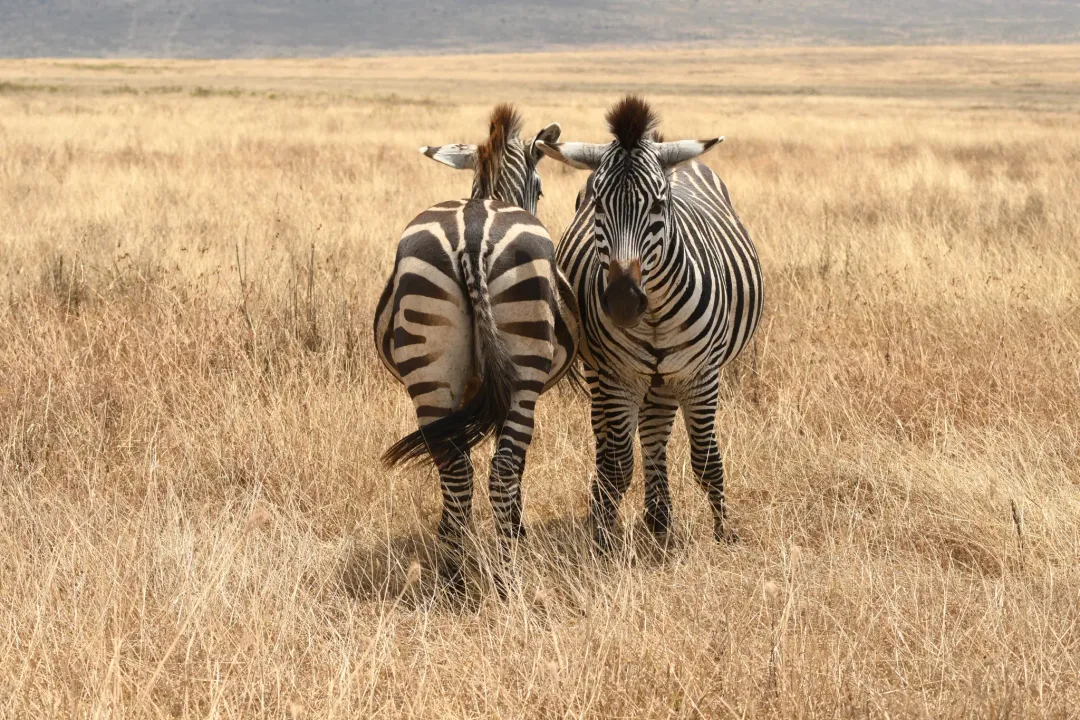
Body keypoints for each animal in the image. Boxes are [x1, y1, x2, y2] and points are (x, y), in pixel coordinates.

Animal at [373, 105, 580, 587]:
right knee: (502, 469)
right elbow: (515, 469)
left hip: (429, 363)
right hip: (523, 370)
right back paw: (508, 573)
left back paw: (453, 573)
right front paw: (517, 531)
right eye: (540, 187)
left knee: (454, 468)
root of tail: (471, 234)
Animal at [537, 95, 763, 551]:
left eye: (659, 205)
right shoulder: (617, 376)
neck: (655, 312)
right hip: (605, 373)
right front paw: (603, 536)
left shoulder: (701, 375)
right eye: (598, 205)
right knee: (611, 440)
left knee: (655, 431)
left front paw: (724, 531)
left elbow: (706, 459)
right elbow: (618, 462)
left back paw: (659, 519)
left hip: (666, 376)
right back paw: (629, 512)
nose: (624, 304)